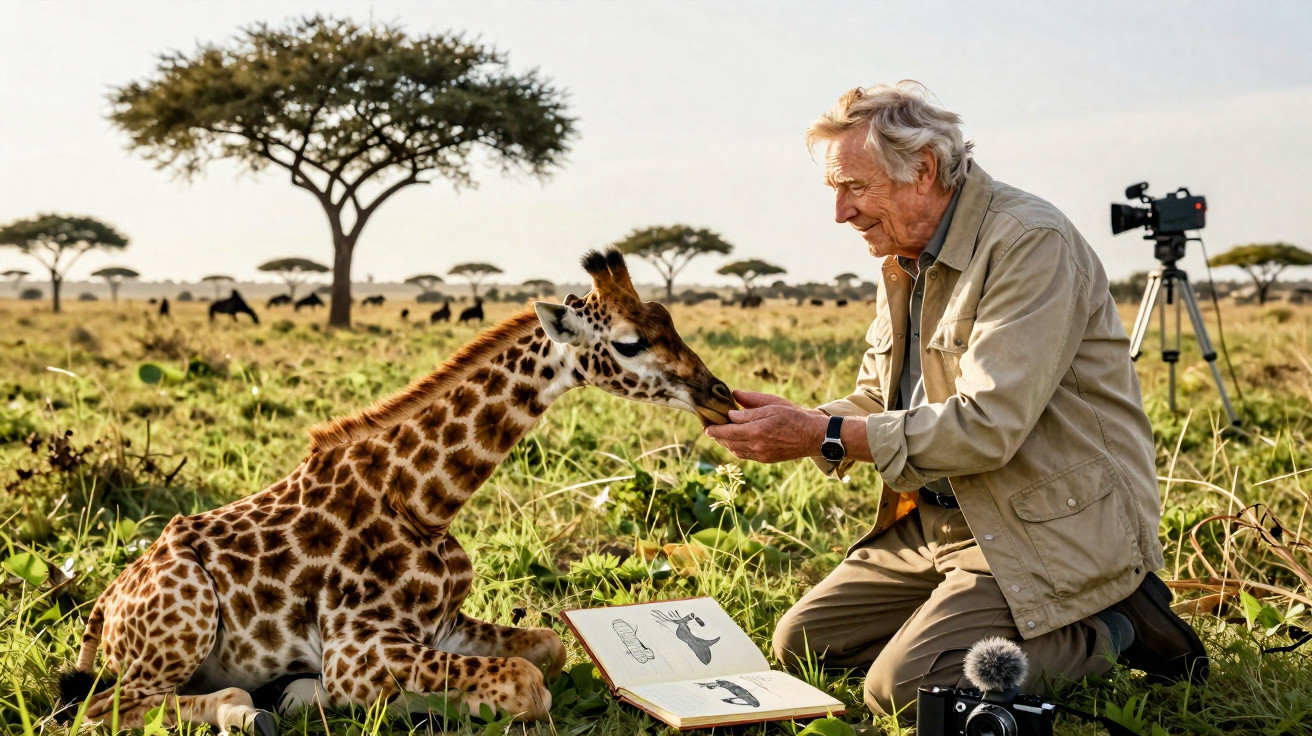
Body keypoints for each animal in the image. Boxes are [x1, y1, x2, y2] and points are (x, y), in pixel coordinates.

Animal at [56, 248, 738, 734]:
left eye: (668, 320)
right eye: (629, 342)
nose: (720, 394)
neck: (424, 502)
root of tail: (104, 607)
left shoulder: (440, 625)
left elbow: (546, 648)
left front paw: (310, 693)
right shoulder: (360, 645)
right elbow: (525, 684)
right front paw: (330, 696)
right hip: (183, 622)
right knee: (98, 712)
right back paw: (245, 711)